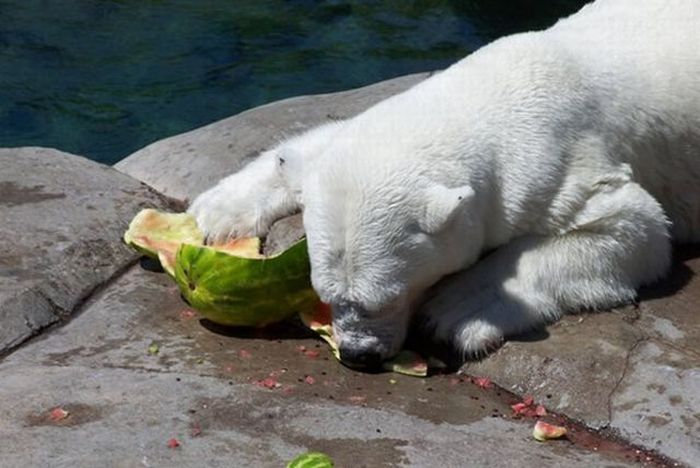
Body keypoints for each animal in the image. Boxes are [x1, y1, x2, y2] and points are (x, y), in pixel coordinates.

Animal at [187, 0, 700, 370]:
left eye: (388, 297)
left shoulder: (557, 163)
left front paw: (456, 307)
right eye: (326, 296)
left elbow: (634, 229)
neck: (491, 96)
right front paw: (217, 212)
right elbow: (307, 149)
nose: (357, 356)